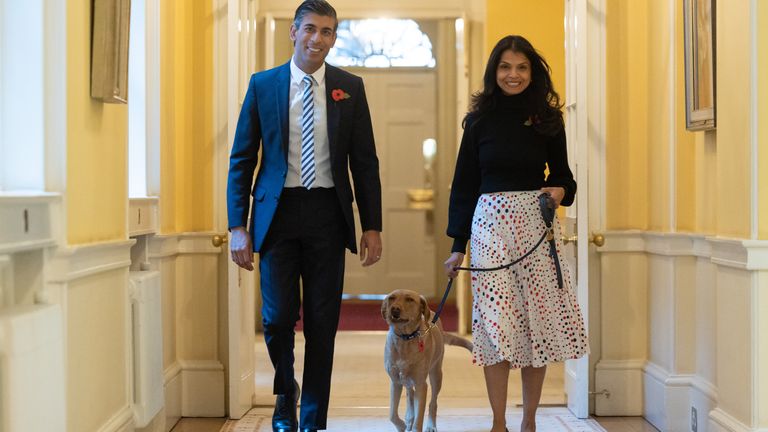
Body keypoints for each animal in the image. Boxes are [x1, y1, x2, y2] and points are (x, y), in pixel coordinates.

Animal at [380, 290, 472, 432]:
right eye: (391, 298)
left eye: (410, 299)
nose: (394, 309)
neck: (405, 339)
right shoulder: (395, 382)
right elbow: (392, 414)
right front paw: (402, 425)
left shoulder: (421, 385)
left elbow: (419, 418)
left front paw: (413, 425)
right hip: (406, 380)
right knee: (410, 396)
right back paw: (409, 419)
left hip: (436, 375)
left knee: (432, 403)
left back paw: (430, 425)